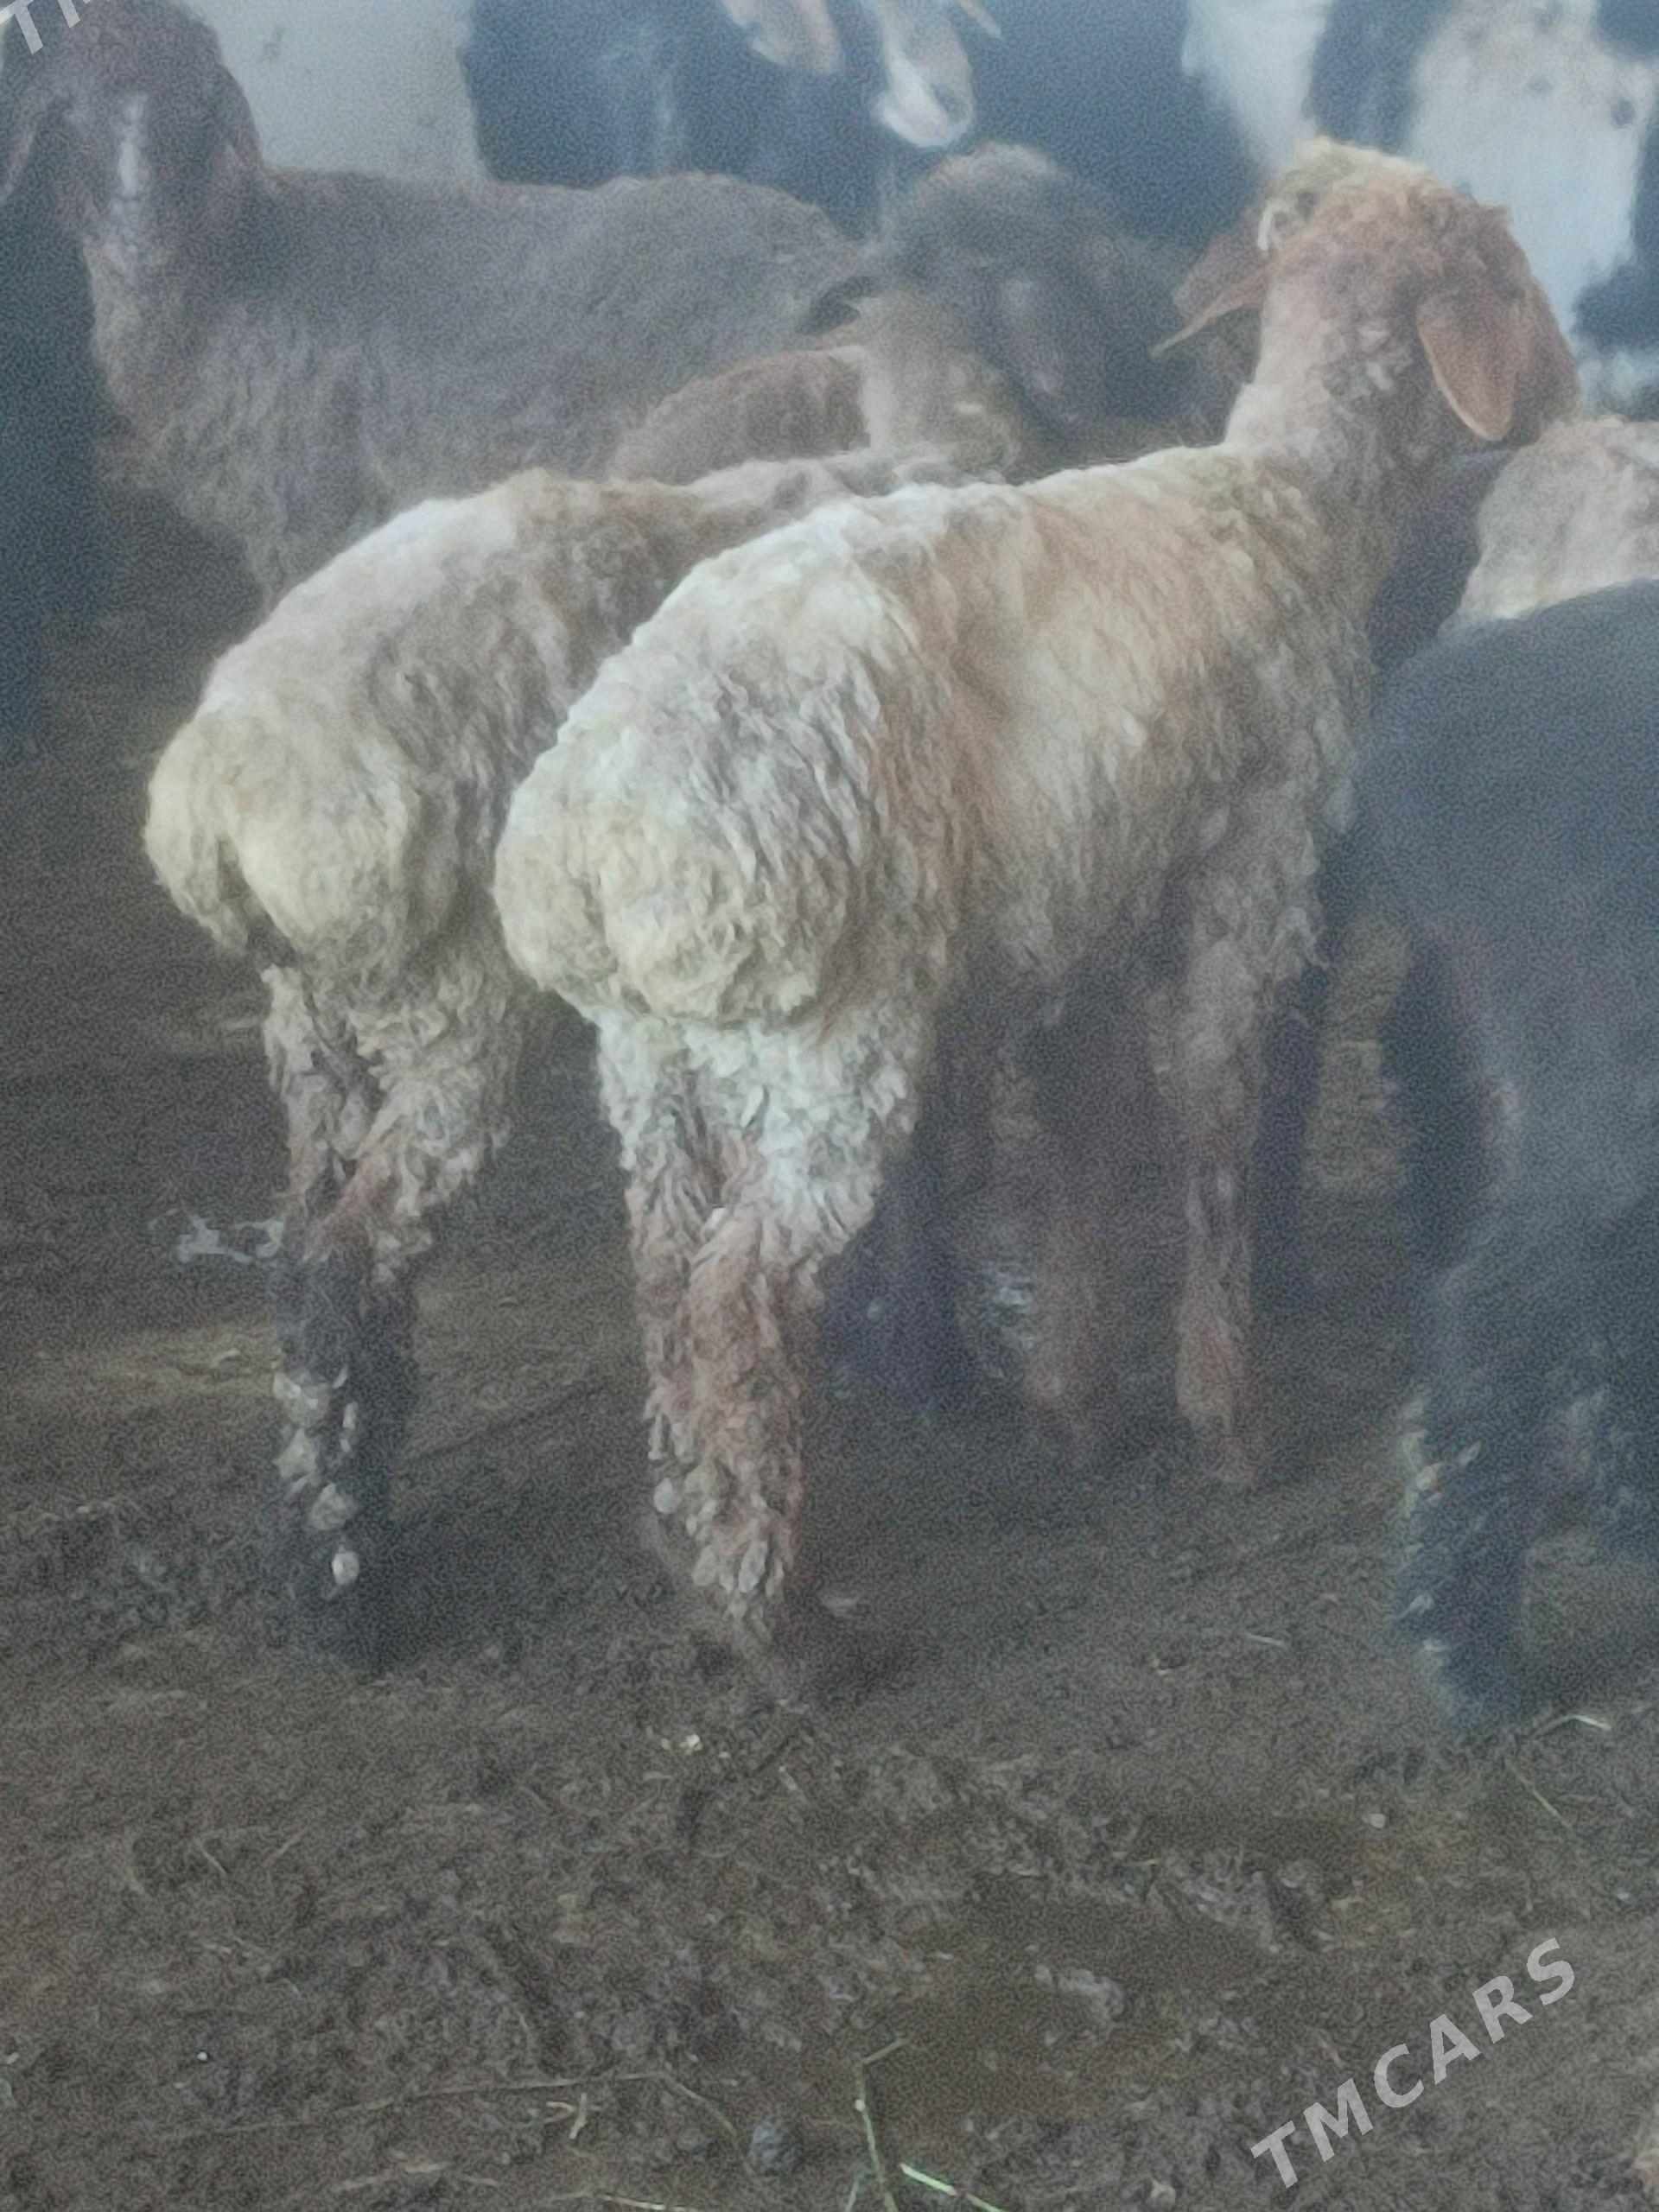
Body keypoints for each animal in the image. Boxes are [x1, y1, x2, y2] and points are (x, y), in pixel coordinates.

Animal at [0, 0, 863, 608]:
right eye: (68, 114)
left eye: (195, 107)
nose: (140, 233)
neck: (241, 262)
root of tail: (832, 251)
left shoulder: (306, 515)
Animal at [144, 444, 964, 1663]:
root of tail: (220, 811)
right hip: (452, 1013)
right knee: (348, 1259)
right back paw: (346, 1583)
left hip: (315, 1036)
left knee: (303, 1252)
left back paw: (318, 1516)